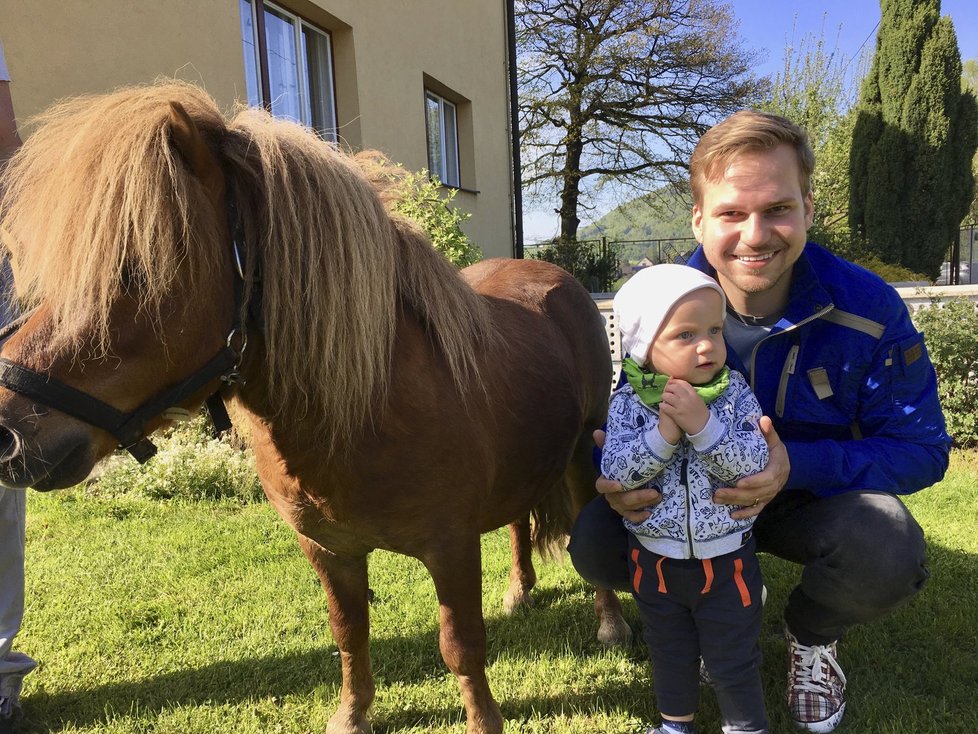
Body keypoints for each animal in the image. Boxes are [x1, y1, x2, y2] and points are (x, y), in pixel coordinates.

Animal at [0, 82, 624, 734]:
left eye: (135, 272)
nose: (8, 432)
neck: (366, 409)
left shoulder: (451, 548)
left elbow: (460, 645)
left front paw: (483, 721)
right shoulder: (328, 550)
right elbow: (349, 634)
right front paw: (352, 715)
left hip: (585, 452)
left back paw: (609, 622)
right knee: (518, 522)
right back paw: (520, 591)